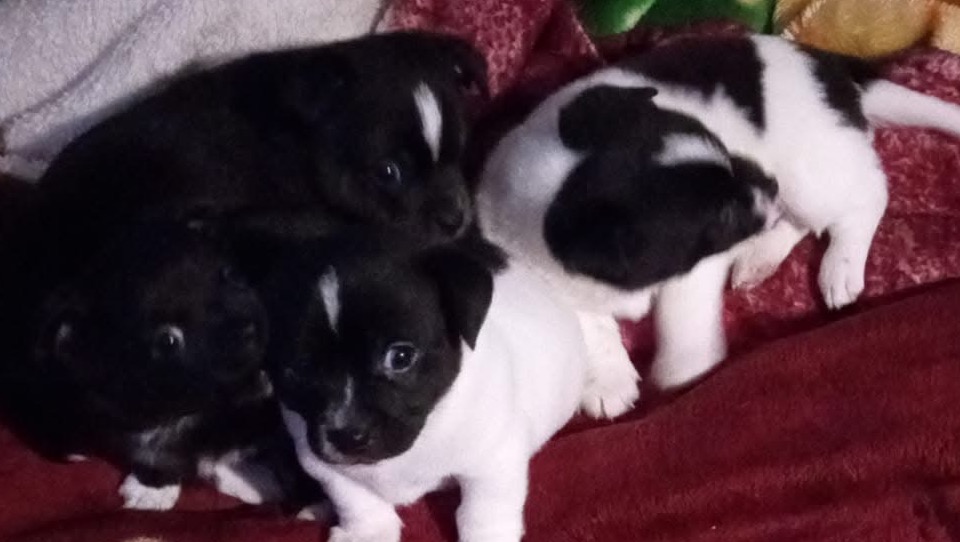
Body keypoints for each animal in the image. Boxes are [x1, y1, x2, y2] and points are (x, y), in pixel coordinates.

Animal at [261, 234, 615, 542]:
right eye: (300, 369)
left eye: (401, 357)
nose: (348, 436)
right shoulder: (325, 465)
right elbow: (356, 501)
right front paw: (367, 533)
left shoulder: (494, 459)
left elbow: (482, 513)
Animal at [477, 34, 960, 405]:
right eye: (723, 212)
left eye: (727, 151)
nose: (768, 184)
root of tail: (828, 66)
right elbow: (585, 321)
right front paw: (608, 379)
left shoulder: (698, 268)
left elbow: (683, 315)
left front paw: (685, 369)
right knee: (801, 216)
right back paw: (761, 256)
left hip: (812, 172)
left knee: (866, 197)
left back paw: (840, 265)